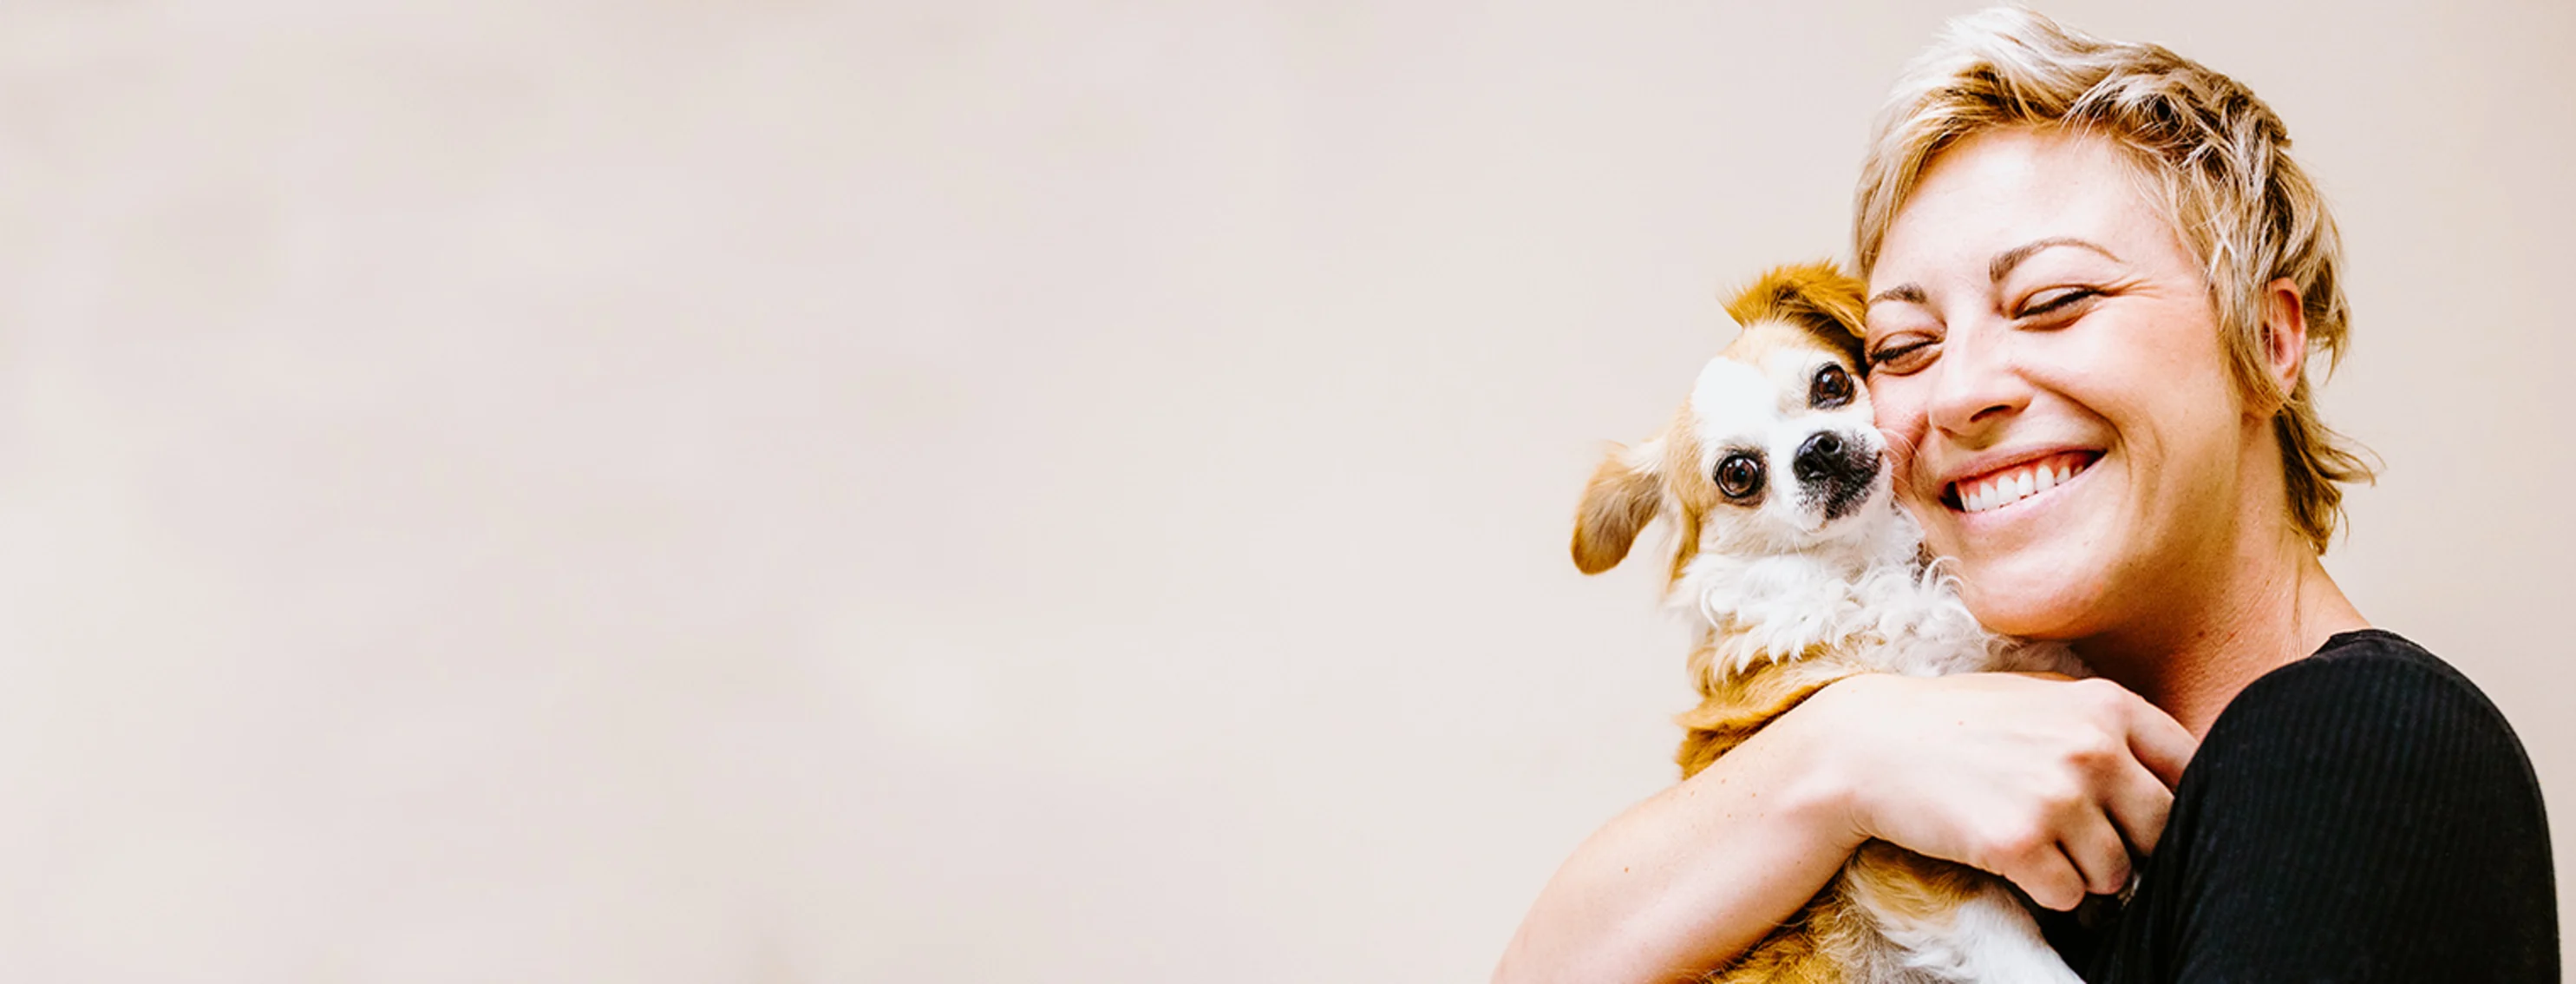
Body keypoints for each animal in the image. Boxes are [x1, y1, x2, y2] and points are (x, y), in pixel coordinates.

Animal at [1566, 262, 2091, 984]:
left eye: (1832, 382)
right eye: (1738, 474)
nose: (1817, 448)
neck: (1871, 568)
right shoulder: (1914, 853)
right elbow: (2032, 964)